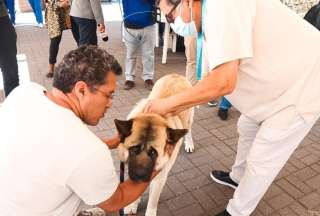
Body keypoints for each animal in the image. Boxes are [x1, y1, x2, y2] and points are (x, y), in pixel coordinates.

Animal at [115, 74, 195, 214]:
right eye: (133, 150)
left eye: (154, 152)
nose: (139, 175)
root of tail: (176, 75)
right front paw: (132, 205)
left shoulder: (159, 178)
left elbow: (153, 200)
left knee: (189, 130)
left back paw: (189, 143)